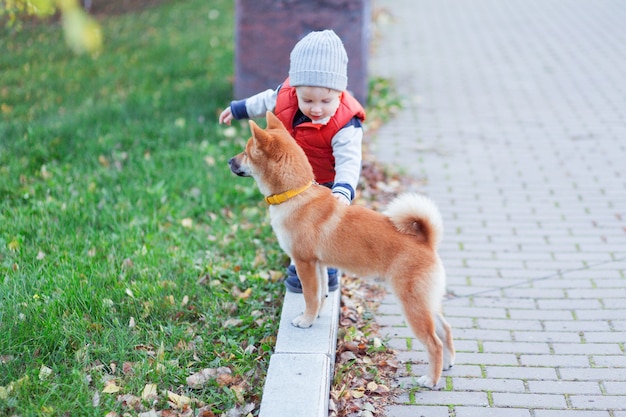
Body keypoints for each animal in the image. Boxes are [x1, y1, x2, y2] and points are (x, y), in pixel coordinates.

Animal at [229, 111, 454, 386]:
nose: (229, 161)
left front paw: (306, 320)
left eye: (246, 151)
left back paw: (431, 379)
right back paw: (448, 363)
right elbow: (321, 294)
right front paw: (315, 315)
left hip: (413, 304)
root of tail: (426, 242)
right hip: (427, 302)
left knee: (433, 342)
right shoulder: (318, 264)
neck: (296, 195)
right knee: (445, 329)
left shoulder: (304, 263)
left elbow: (310, 296)